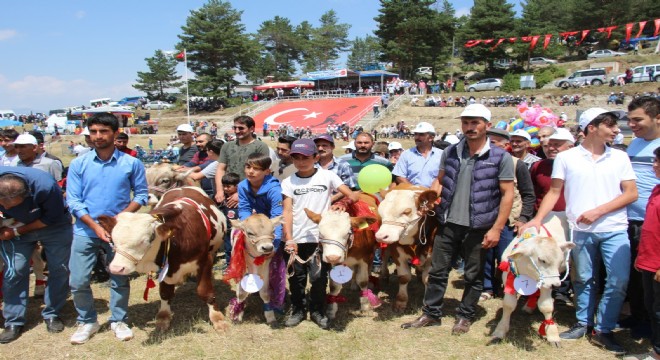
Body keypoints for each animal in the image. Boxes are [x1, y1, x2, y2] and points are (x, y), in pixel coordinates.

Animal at [96, 187, 228, 330]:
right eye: (113, 241)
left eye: (144, 241)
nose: (116, 268)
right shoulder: (163, 268)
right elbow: (165, 293)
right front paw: (164, 317)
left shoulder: (205, 261)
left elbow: (205, 291)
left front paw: (217, 318)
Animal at [490, 214, 572, 346]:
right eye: (542, 260)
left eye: (560, 262)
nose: (556, 285)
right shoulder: (508, 277)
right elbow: (508, 305)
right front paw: (500, 330)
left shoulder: (546, 284)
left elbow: (546, 306)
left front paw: (552, 335)